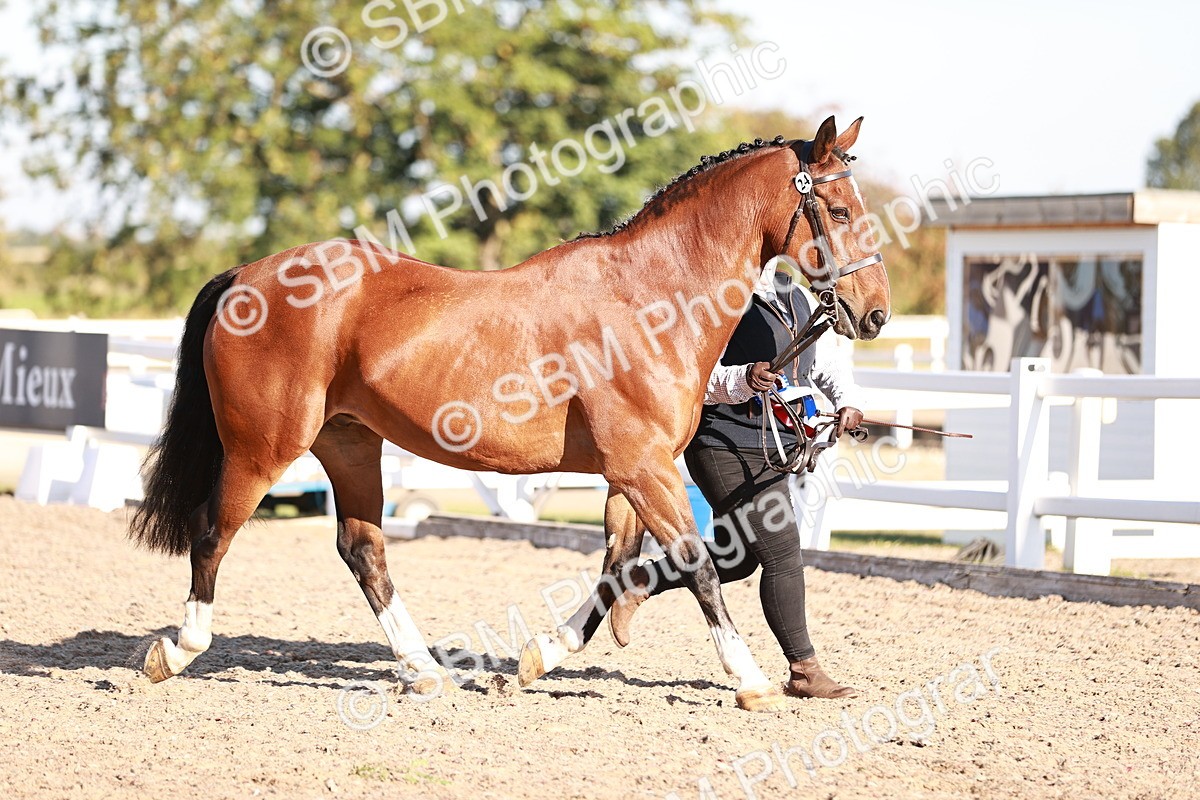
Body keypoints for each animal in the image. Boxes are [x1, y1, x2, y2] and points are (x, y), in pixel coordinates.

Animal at [130, 115, 891, 712]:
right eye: (840, 211)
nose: (876, 312)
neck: (650, 298)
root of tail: (246, 277)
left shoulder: (631, 472)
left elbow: (617, 567)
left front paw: (532, 662)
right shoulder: (644, 468)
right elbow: (695, 563)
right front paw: (752, 681)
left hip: (348, 444)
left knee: (363, 550)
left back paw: (425, 673)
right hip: (262, 449)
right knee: (212, 534)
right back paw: (176, 652)